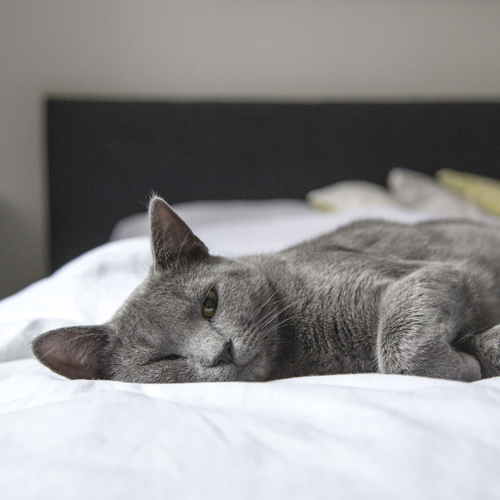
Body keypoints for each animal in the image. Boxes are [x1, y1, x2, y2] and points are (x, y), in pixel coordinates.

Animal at [32, 195, 500, 382]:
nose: (221, 352)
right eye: (162, 360)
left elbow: (398, 341)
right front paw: (469, 364)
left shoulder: (429, 273)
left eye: (209, 304)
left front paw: (467, 364)